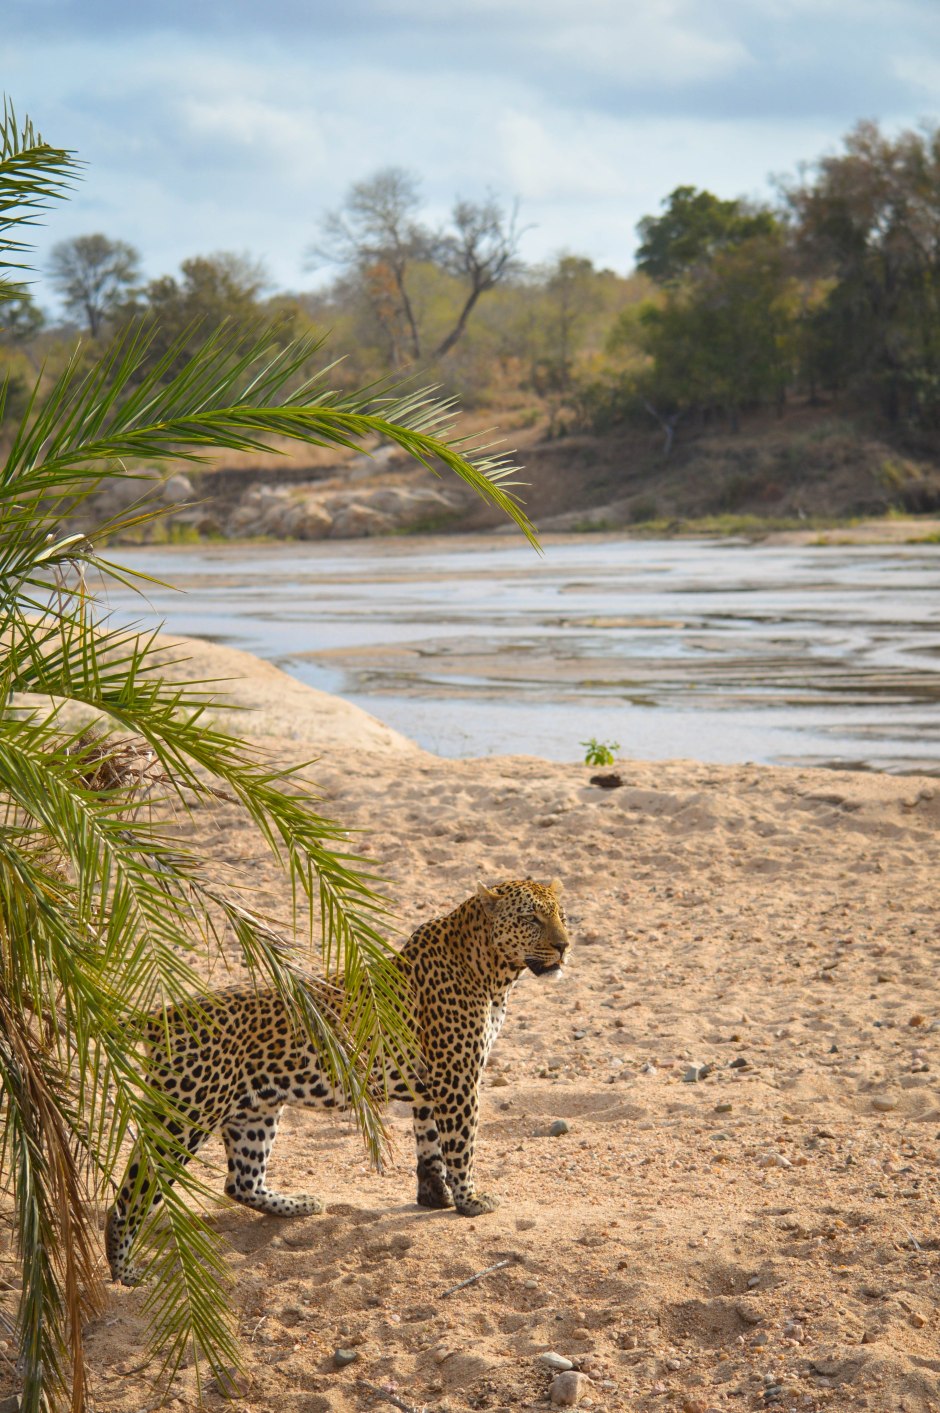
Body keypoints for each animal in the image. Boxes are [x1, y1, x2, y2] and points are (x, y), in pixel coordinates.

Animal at [106, 878, 569, 1284]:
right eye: (530, 917)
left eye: (561, 915)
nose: (565, 946)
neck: (491, 971)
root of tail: (164, 1014)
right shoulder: (458, 1079)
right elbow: (461, 1144)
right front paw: (471, 1201)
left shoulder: (430, 1087)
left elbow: (430, 1146)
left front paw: (434, 1197)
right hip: (185, 1112)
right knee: (135, 1189)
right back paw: (126, 1272)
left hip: (254, 1110)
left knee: (240, 1182)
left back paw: (300, 1204)